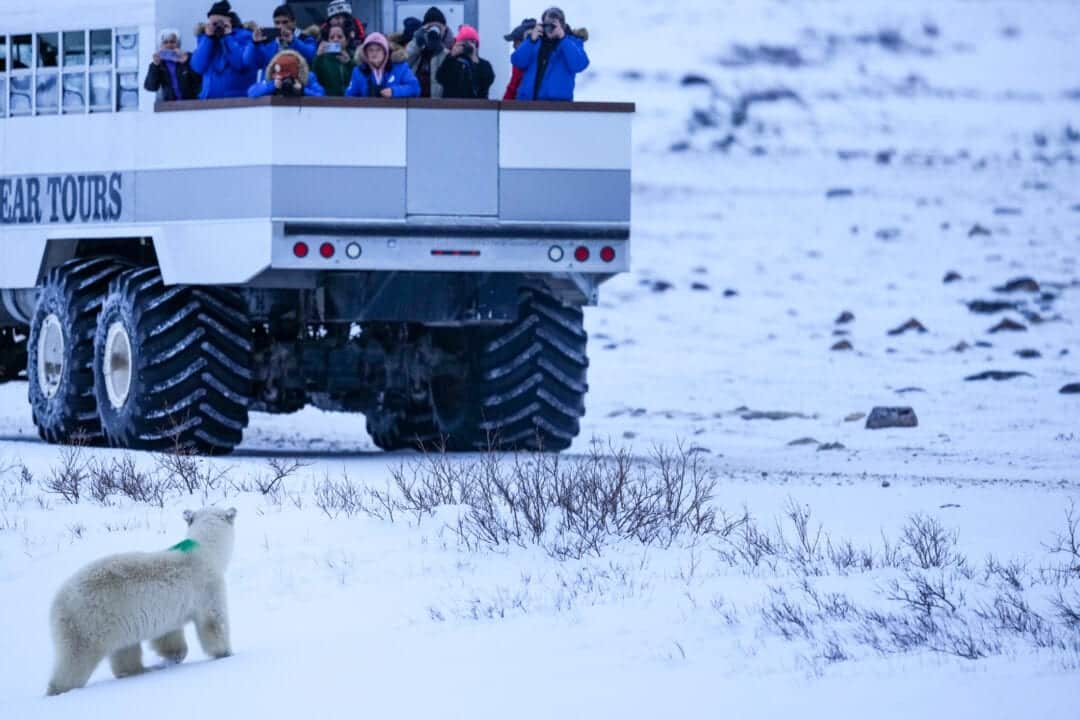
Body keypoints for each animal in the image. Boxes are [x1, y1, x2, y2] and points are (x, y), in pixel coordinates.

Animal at [46, 506, 238, 696]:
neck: (205, 552)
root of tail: (57, 604)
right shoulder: (208, 588)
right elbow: (214, 623)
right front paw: (227, 654)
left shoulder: (167, 609)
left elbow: (168, 635)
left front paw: (173, 656)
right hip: (89, 622)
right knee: (76, 660)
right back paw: (59, 689)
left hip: (116, 621)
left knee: (125, 650)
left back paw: (138, 670)